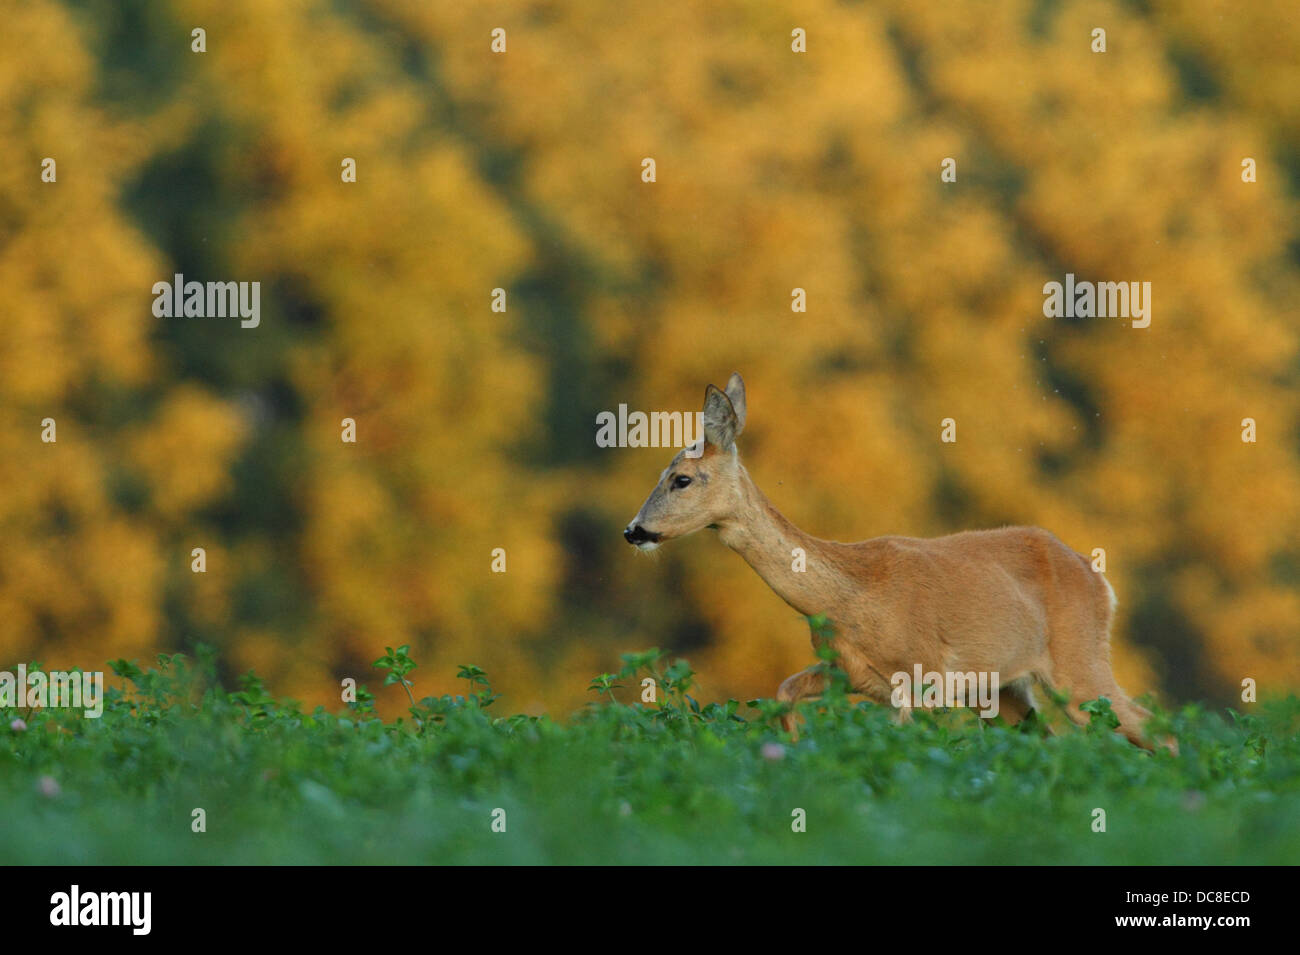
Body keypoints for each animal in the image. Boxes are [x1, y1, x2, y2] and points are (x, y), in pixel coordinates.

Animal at [623, 372, 1174, 753]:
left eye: (681, 479)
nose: (633, 530)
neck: (849, 598)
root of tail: (1098, 580)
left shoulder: (921, 675)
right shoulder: (847, 672)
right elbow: (782, 693)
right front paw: (794, 750)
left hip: (1077, 662)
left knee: (1155, 729)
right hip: (1005, 689)